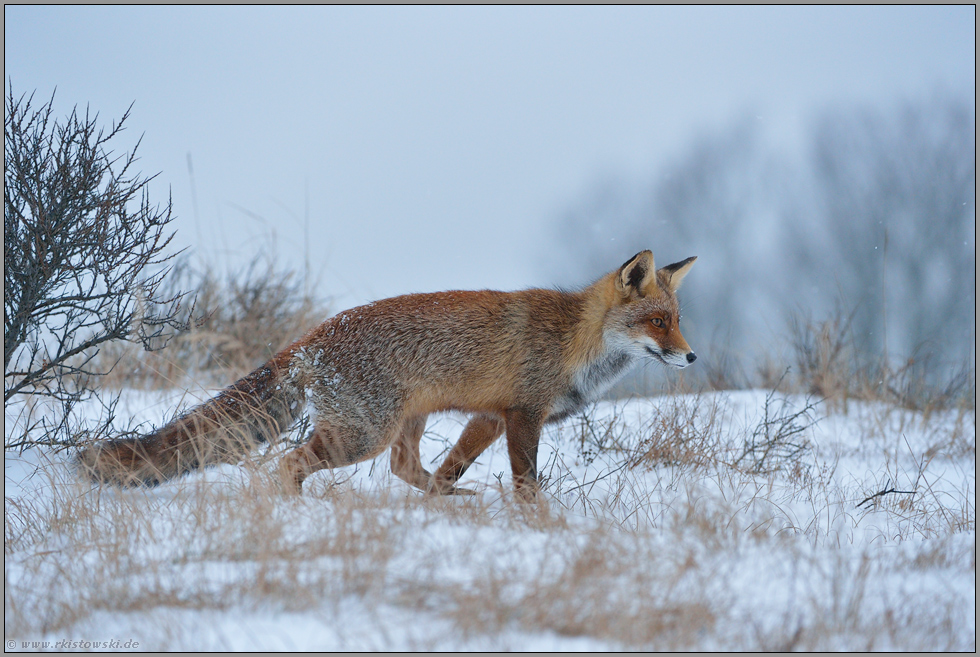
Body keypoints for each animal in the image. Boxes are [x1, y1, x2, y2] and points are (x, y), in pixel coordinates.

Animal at [77, 250, 697, 499]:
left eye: (679, 320)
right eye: (658, 322)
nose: (691, 358)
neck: (575, 342)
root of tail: (313, 336)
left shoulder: (491, 415)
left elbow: (450, 468)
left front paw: (443, 506)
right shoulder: (523, 415)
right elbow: (527, 484)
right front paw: (539, 526)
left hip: (405, 420)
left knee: (405, 468)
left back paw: (450, 500)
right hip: (361, 435)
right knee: (288, 463)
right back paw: (300, 512)